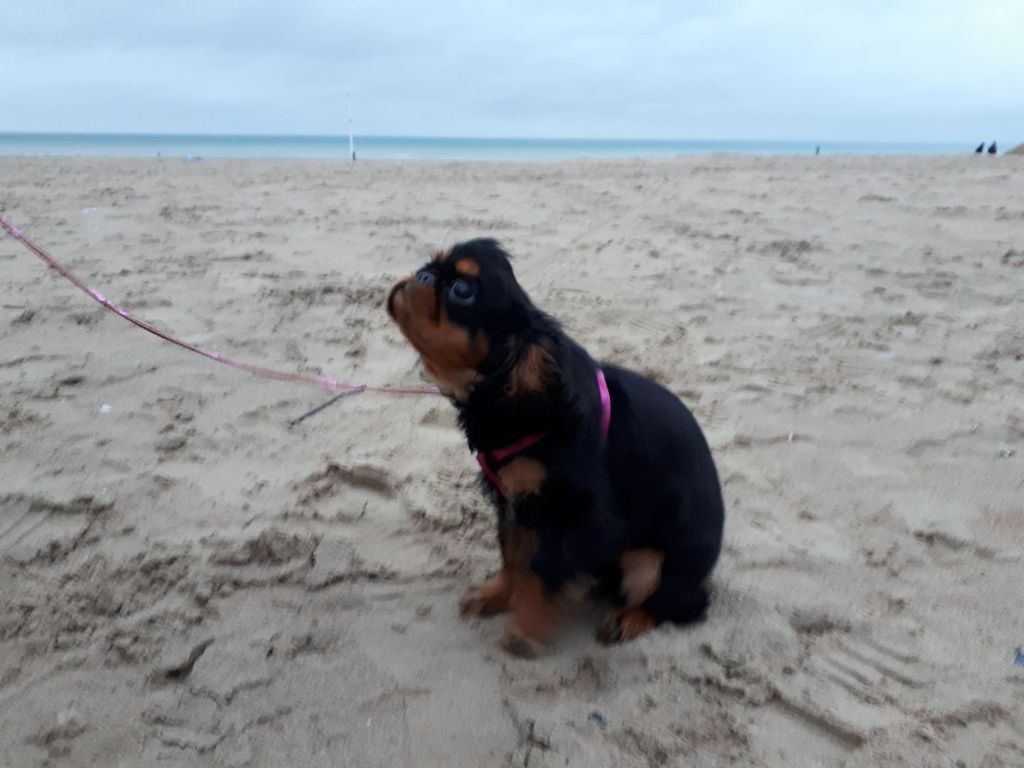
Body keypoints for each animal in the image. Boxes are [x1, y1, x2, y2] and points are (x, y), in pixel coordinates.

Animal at [387, 239, 724, 655]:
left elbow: (539, 568)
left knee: (686, 603)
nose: (422, 275)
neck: (506, 386)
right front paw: (497, 596)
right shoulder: (516, 499)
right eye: (429, 266)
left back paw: (629, 619)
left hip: (651, 563)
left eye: (462, 291)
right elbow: (512, 554)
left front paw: (527, 630)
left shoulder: (572, 511)